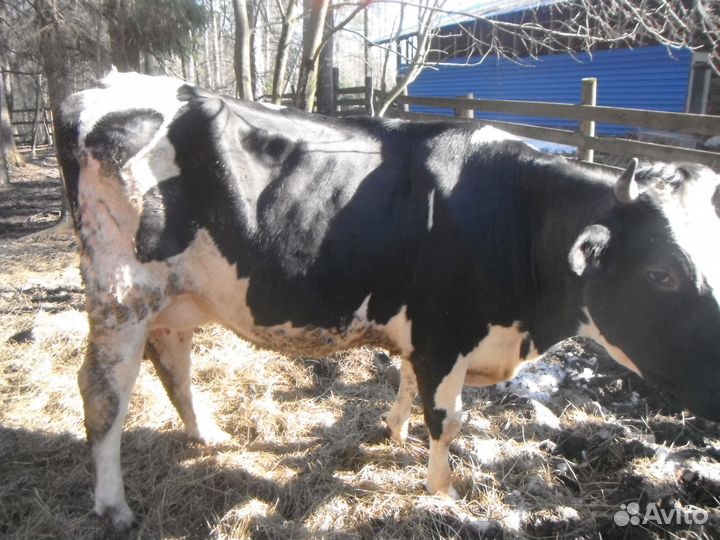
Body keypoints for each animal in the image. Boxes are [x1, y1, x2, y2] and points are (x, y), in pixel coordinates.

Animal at [55, 71, 720, 529]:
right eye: (661, 273)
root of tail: (97, 88)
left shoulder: (423, 333)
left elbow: (403, 381)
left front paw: (393, 433)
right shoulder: (445, 331)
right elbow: (446, 419)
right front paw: (442, 494)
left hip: (173, 296)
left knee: (174, 365)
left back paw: (209, 436)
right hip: (121, 293)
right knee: (104, 394)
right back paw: (113, 505)